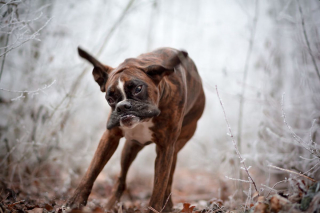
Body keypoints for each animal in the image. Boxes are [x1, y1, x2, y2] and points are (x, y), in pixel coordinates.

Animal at [67, 47, 205, 212]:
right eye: (110, 98)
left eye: (138, 89)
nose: (122, 106)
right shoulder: (109, 138)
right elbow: (92, 170)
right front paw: (75, 201)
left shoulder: (165, 149)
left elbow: (159, 187)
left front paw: (154, 209)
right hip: (130, 148)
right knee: (121, 179)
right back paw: (111, 206)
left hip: (175, 148)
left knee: (169, 180)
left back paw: (167, 205)